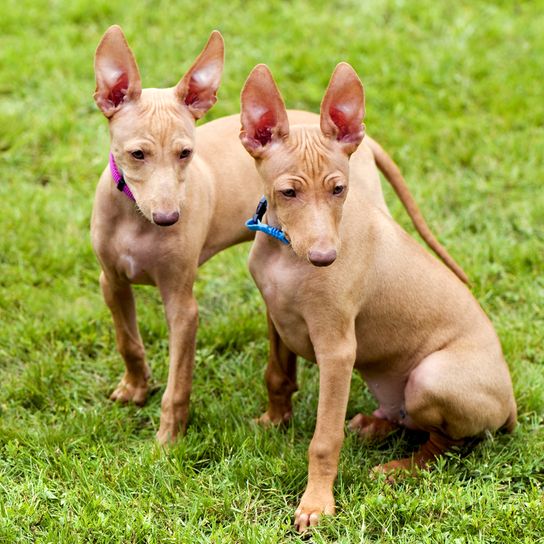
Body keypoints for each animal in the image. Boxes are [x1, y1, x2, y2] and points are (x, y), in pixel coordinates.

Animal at [238, 62, 516, 532]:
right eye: (288, 192)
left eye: (339, 190)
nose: (325, 258)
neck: (285, 251)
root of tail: (512, 402)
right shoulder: (275, 316)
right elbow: (277, 376)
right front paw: (273, 421)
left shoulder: (337, 350)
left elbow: (324, 438)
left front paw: (317, 503)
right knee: (407, 420)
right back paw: (375, 424)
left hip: (432, 377)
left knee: (446, 445)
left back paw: (398, 469)